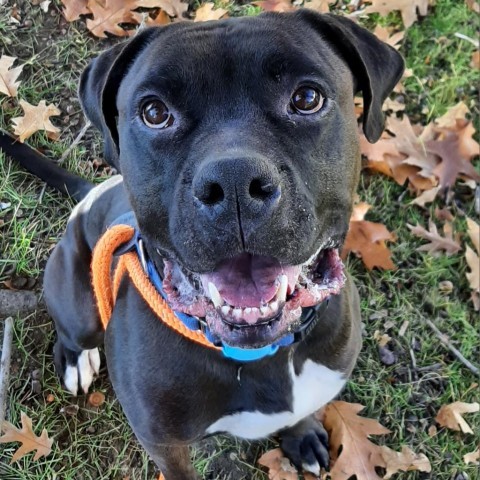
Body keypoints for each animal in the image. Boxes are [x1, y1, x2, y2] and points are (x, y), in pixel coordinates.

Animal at [0, 9, 404, 478]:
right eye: (155, 112)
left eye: (306, 98)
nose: (234, 183)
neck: (257, 355)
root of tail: (89, 193)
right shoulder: (164, 444)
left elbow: (301, 412)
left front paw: (301, 436)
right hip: (77, 299)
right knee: (72, 330)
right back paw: (75, 359)